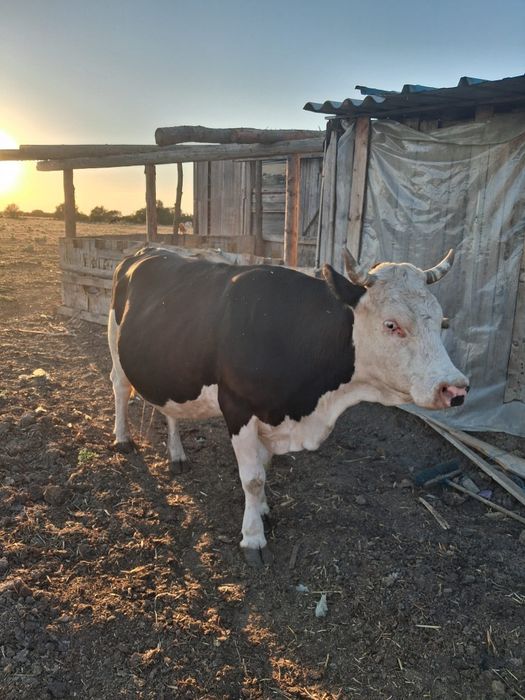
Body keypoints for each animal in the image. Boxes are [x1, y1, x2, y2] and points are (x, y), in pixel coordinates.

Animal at [108, 246, 468, 566]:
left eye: (441, 322)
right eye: (391, 324)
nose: (455, 388)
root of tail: (144, 251)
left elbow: (264, 469)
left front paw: (263, 510)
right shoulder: (238, 407)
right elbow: (252, 477)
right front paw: (253, 538)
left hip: (168, 366)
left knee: (169, 409)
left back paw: (177, 455)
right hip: (116, 347)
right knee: (120, 388)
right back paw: (122, 439)